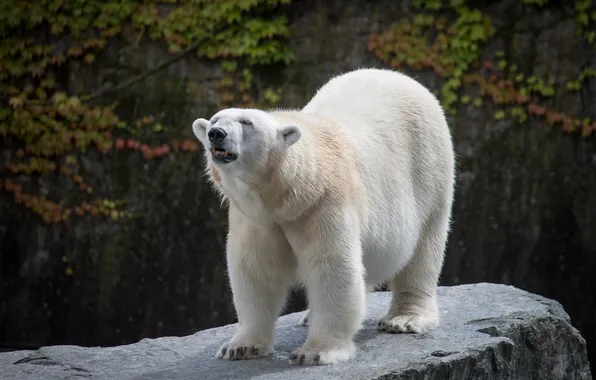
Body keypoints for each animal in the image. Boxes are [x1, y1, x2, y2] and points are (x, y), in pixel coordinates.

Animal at [193, 67, 454, 366]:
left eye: (247, 122)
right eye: (214, 120)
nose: (216, 133)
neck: (286, 194)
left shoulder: (322, 204)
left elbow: (332, 266)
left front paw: (316, 351)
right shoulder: (256, 218)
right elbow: (256, 270)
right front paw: (240, 347)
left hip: (429, 166)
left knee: (424, 246)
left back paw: (405, 318)